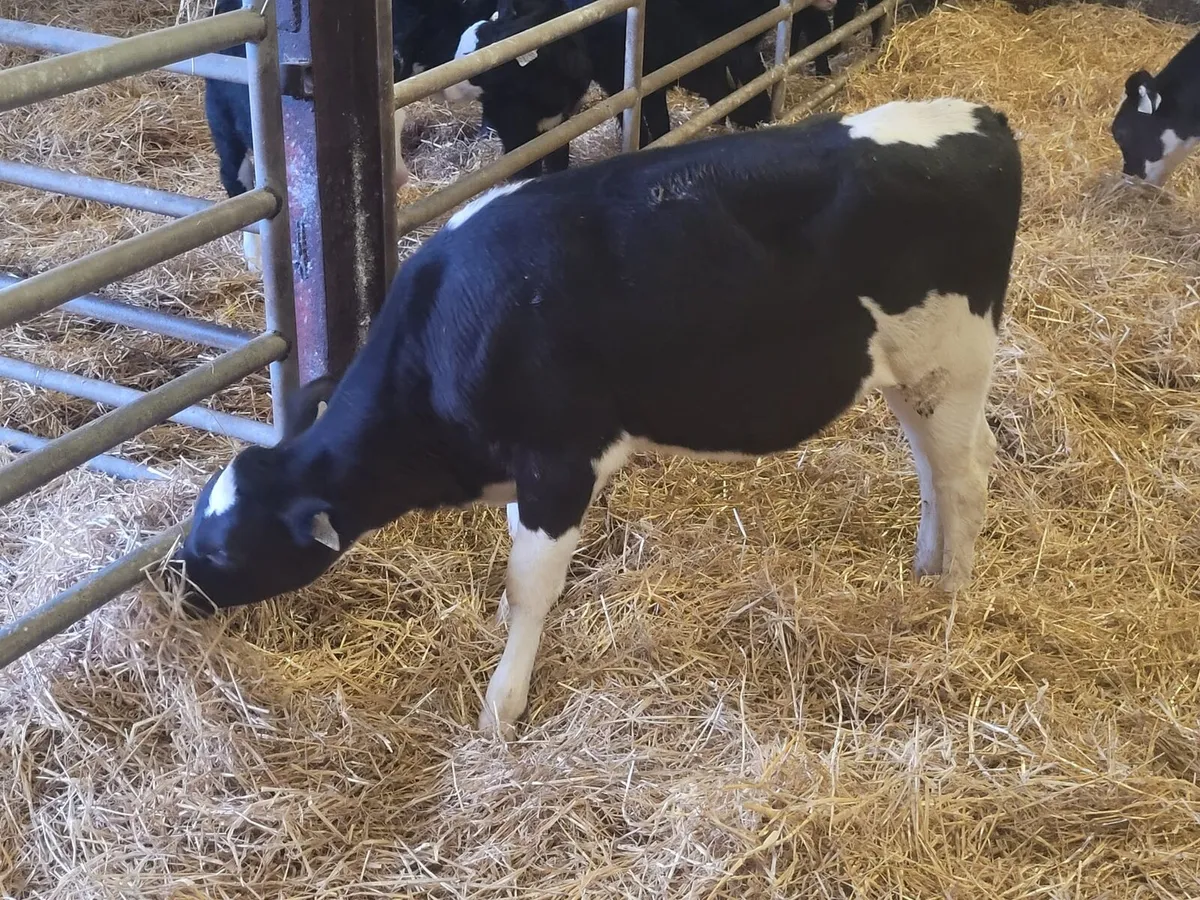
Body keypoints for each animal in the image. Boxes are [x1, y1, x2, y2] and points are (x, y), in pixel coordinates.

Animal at [174, 98, 1023, 738]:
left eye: (223, 551)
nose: (177, 594)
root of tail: (978, 116)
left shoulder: (559, 462)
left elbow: (530, 586)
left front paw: (501, 706)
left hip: (953, 361)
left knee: (969, 473)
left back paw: (952, 593)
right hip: (912, 377)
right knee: (935, 470)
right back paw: (926, 567)